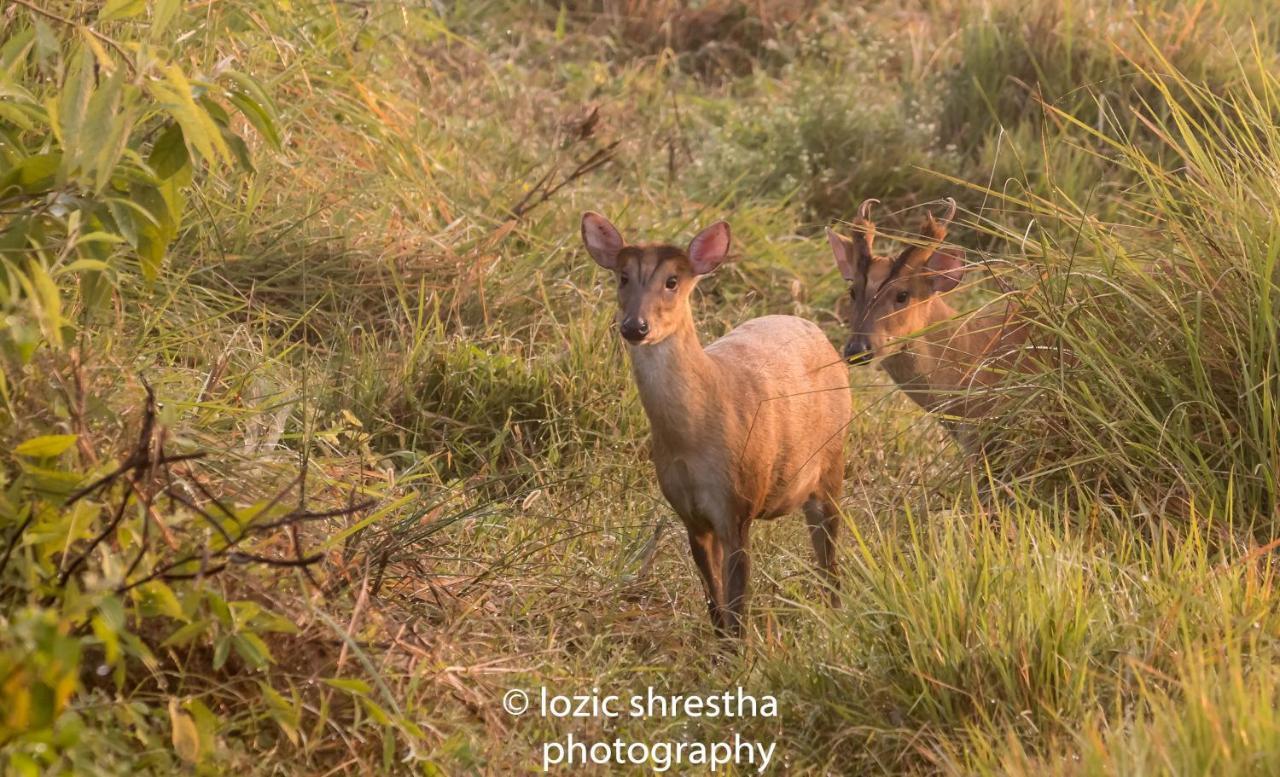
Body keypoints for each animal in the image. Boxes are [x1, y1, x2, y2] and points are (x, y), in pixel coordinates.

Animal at [581, 212, 849, 637]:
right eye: (622, 276)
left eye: (673, 280)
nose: (635, 326)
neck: (694, 440)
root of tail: (819, 333)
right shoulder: (689, 512)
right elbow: (714, 600)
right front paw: (719, 643)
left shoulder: (738, 503)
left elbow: (738, 605)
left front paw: (740, 649)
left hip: (832, 464)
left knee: (829, 561)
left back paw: (836, 619)